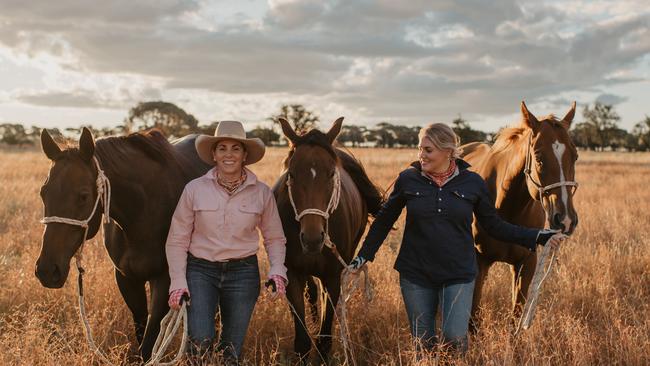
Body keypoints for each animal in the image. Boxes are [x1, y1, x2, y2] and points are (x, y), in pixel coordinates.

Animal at [34, 128, 210, 360]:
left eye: (83, 196)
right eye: (43, 193)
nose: (46, 270)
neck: (143, 212)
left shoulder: (165, 280)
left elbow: (149, 342)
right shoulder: (127, 278)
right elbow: (141, 329)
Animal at [270, 118, 382, 362]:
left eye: (331, 174)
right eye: (291, 174)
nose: (313, 239)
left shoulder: (333, 277)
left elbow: (324, 340)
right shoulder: (292, 274)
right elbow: (302, 341)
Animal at [460, 101, 576, 330]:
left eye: (575, 156)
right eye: (538, 157)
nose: (565, 219)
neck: (508, 209)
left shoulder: (527, 264)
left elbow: (515, 320)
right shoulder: (478, 262)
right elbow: (473, 320)